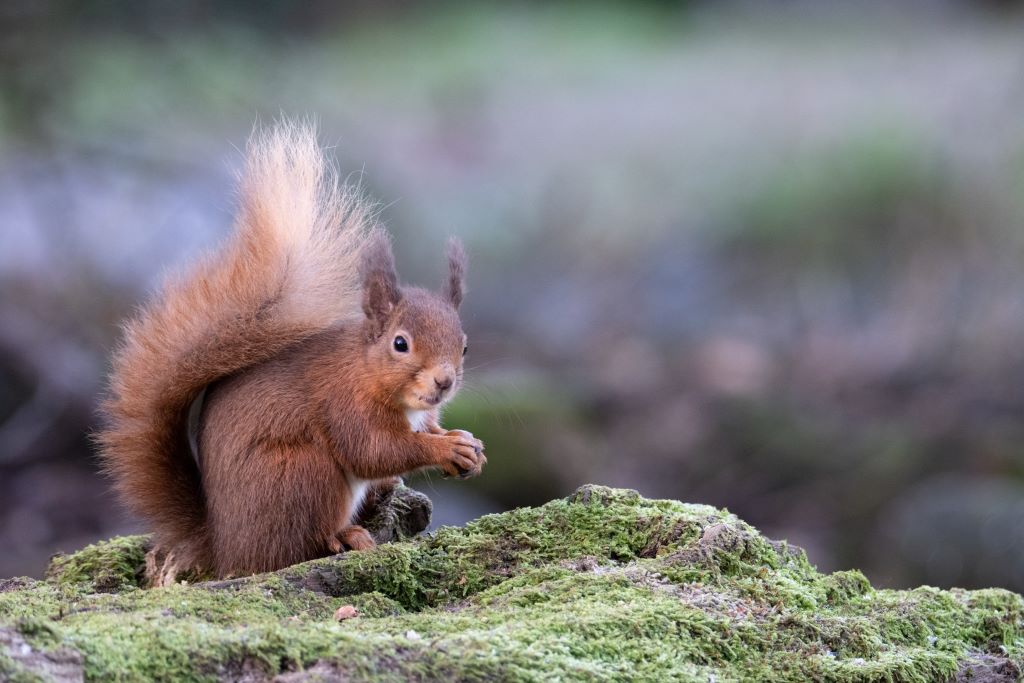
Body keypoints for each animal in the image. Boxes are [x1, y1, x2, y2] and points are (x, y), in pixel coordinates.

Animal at [98, 122, 487, 581]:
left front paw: (463, 442)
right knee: (299, 546)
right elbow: (376, 451)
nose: (444, 382)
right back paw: (344, 536)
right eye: (400, 344)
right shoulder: (345, 404)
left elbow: (424, 431)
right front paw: (444, 449)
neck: (367, 371)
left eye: (464, 346)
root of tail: (226, 551)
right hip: (303, 471)